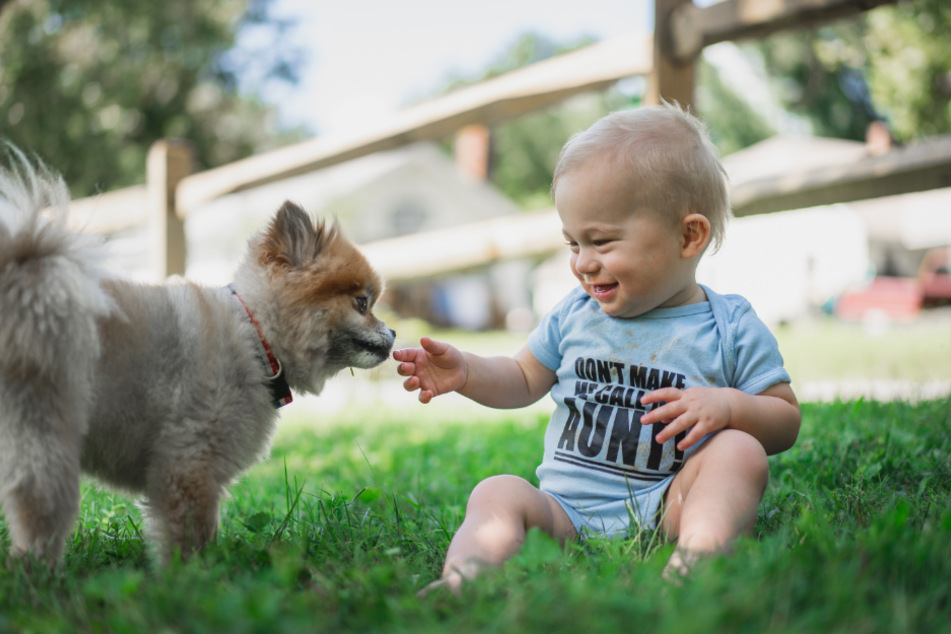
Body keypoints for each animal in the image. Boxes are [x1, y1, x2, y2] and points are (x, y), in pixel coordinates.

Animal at [0, 149, 396, 564]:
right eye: (362, 303)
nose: (395, 332)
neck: (256, 337)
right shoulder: (190, 462)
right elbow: (192, 532)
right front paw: (194, 574)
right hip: (46, 433)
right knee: (39, 510)